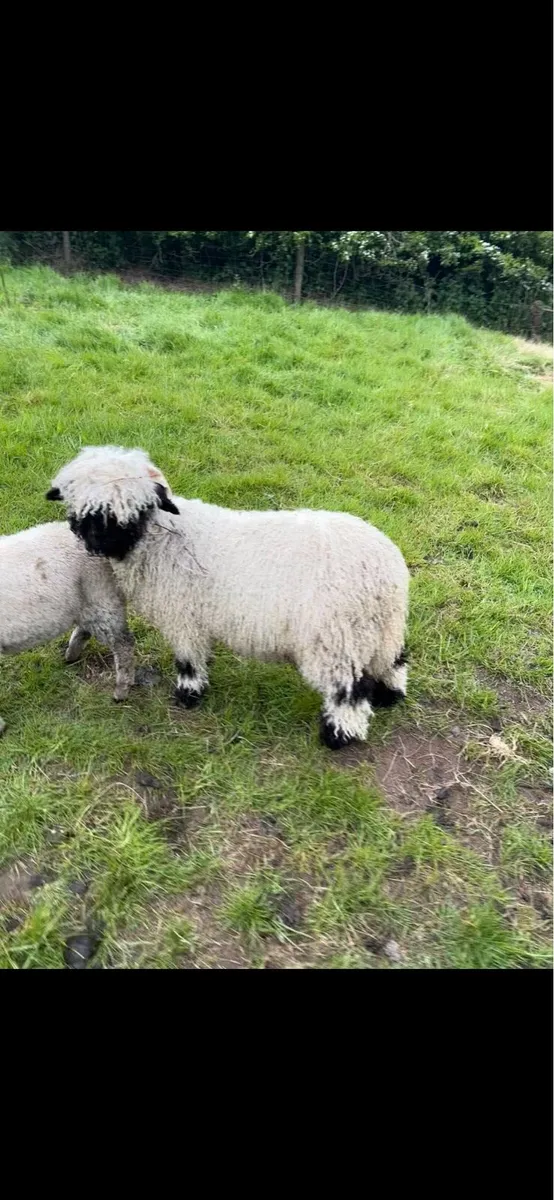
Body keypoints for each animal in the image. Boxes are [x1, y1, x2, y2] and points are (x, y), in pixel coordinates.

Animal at [0, 520, 135, 735]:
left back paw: (121, 691)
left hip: (102, 594)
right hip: (90, 600)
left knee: (124, 644)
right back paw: (71, 655)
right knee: (87, 630)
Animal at [47, 445, 409, 749]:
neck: (161, 539)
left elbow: (188, 660)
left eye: (137, 510)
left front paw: (188, 695)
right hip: (380, 630)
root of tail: (386, 573)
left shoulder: (183, 616)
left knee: (347, 691)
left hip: (334, 639)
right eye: (87, 511)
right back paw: (389, 696)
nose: (98, 545)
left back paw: (337, 736)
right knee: (394, 661)